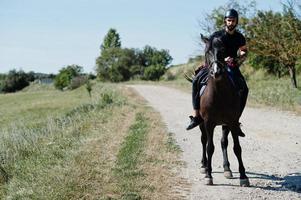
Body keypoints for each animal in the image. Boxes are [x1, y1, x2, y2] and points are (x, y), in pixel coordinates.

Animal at [197, 33, 248, 187]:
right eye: (207, 51)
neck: (219, 94)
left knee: (223, 142)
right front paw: (209, 175)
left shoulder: (232, 121)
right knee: (204, 140)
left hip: (225, 124)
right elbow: (209, 147)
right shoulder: (208, 123)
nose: (216, 72)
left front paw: (243, 176)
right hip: (202, 123)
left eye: (223, 51)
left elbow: (237, 148)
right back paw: (204, 165)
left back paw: (227, 169)